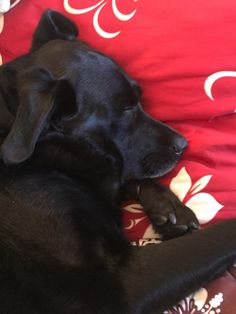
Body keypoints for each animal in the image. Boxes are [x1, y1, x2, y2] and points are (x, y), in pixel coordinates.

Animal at [0, 10, 235, 314]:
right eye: (126, 108)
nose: (183, 144)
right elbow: (219, 234)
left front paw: (170, 208)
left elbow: (119, 172)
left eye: (139, 98)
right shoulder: (109, 287)